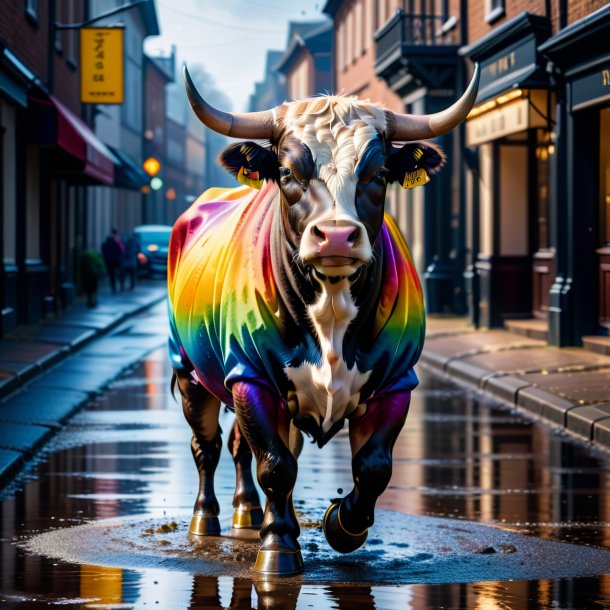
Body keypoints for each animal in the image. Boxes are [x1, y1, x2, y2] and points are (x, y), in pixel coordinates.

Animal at [167, 64, 480, 572]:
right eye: (288, 172)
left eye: (378, 174)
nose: (335, 236)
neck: (330, 309)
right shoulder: (251, 377)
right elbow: (275, 465)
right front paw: (278, 548)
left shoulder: (397, 381)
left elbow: (373, 466)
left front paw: (342, 525)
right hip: (191, 371)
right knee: (208, 446)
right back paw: (207, 519)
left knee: (241, 447)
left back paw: (247, 513)